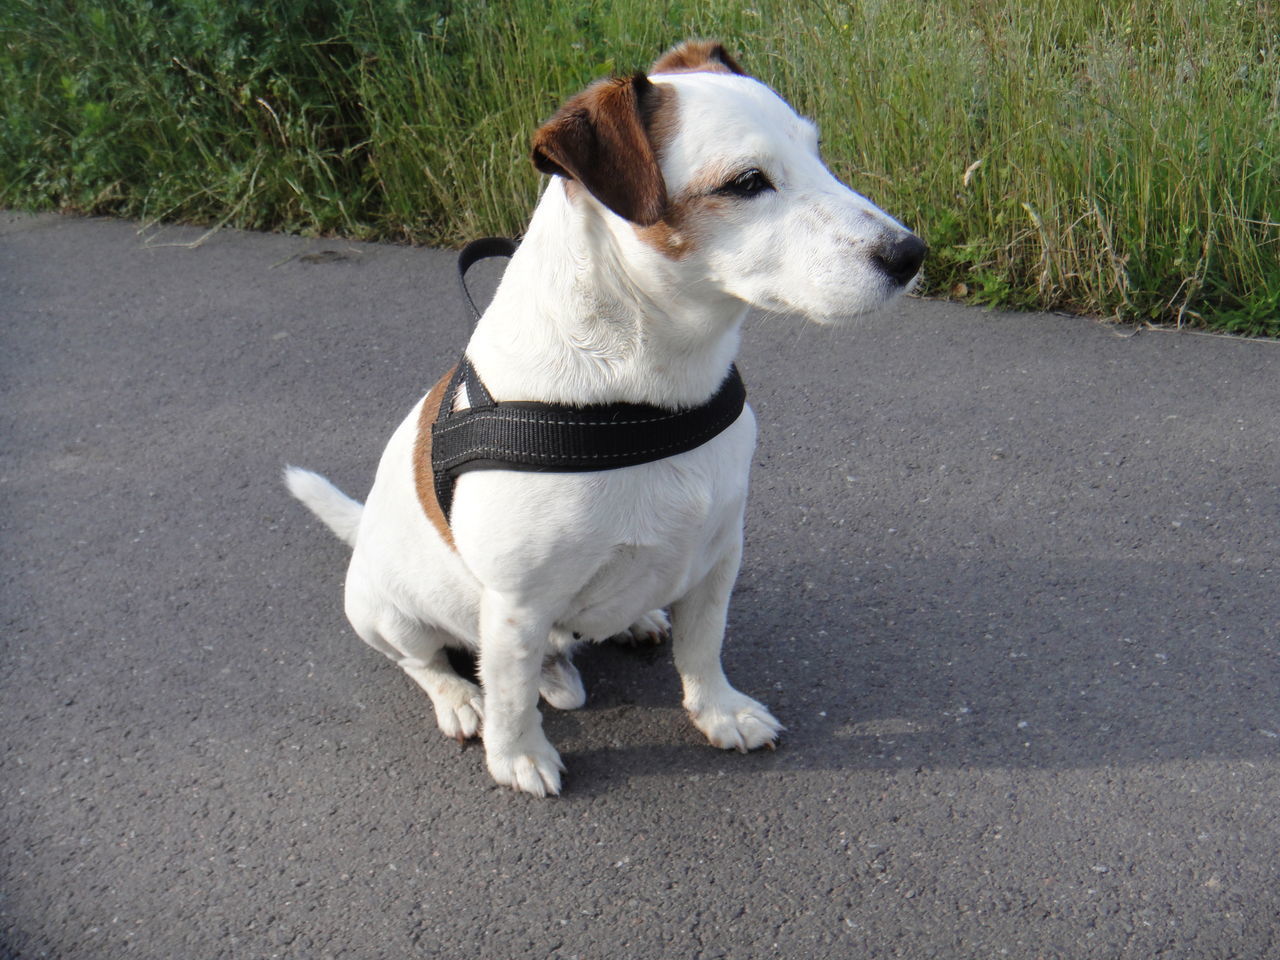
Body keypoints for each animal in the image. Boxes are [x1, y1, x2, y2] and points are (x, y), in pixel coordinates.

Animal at [286, 41, 926, 798]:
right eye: (746, 182)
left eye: (815, 151)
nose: (910, 254)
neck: (645, 396)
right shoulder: (515, 604)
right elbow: (510, 695)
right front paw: (516, 754)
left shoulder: (719, 553)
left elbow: (703, 648)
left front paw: (719, 711)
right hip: (385, 612)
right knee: (428, 663)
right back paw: (461, 698)